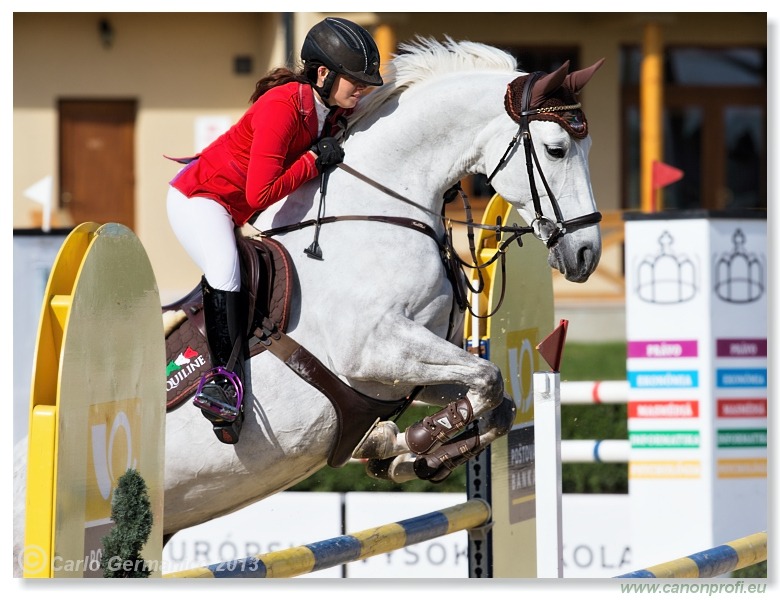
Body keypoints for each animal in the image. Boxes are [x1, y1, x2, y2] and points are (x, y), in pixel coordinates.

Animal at [13, 37, 604, 564]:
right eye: (556, 149)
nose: (586, 254)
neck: (378, 211)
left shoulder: (407, 372)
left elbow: (497, 400)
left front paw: (400, 451)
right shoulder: (376, 353)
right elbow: (488, 379)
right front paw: (410, 441)